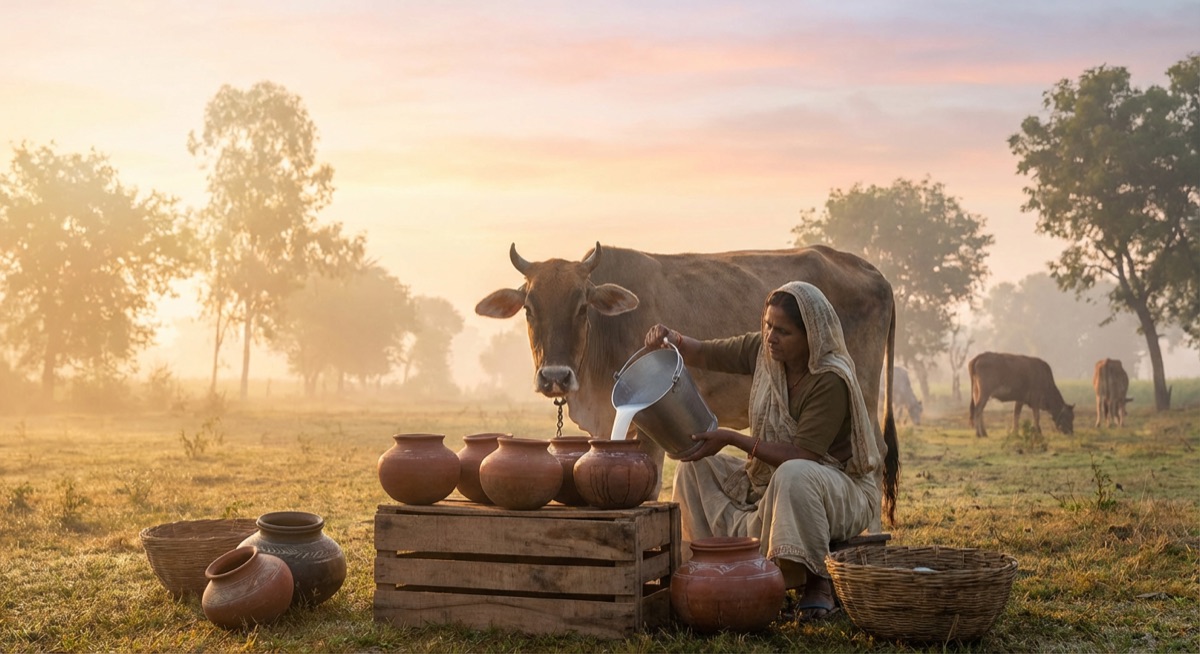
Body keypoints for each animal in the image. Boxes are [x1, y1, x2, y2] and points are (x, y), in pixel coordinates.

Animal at [475, 242, 901, 523]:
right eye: (529, 309)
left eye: (582, 307)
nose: (555, 377)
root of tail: (874, 272)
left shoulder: (642, 435)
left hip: (862, 391)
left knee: (872, 455)